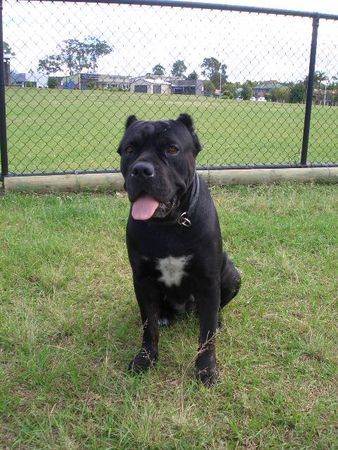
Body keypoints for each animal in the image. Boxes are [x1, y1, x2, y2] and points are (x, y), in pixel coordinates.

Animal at [118, 114, 240, 384]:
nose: (141, 169)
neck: (169, 224)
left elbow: (207, 335)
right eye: (129, 149)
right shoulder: (142, 280)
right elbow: (148, 326)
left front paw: (206, 369)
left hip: (232, 274)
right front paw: (146, 358)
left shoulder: (208, 281)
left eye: (172, 149)